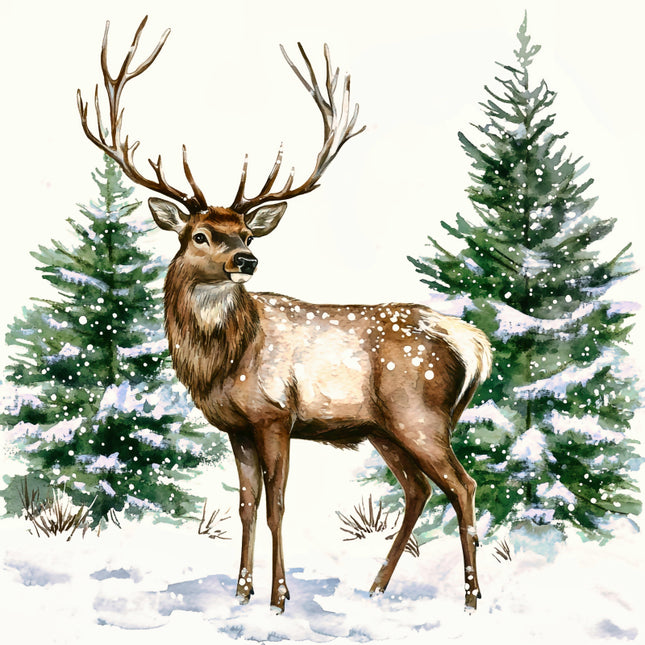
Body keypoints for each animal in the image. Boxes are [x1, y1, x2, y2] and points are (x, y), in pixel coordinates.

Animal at [77, 16, 492, 613]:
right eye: (200, 234)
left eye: (247, 235)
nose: (246, 260)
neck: (224, 359)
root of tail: (473, 344)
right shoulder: (237, 426)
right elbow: (247, 505)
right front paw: (241, 592)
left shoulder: (275, 413)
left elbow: (276, 504)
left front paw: (279, 596)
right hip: (383, 428)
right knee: (418, 489)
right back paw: (376, 587)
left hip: (419, 412)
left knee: (462, 485)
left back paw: (471, 599)